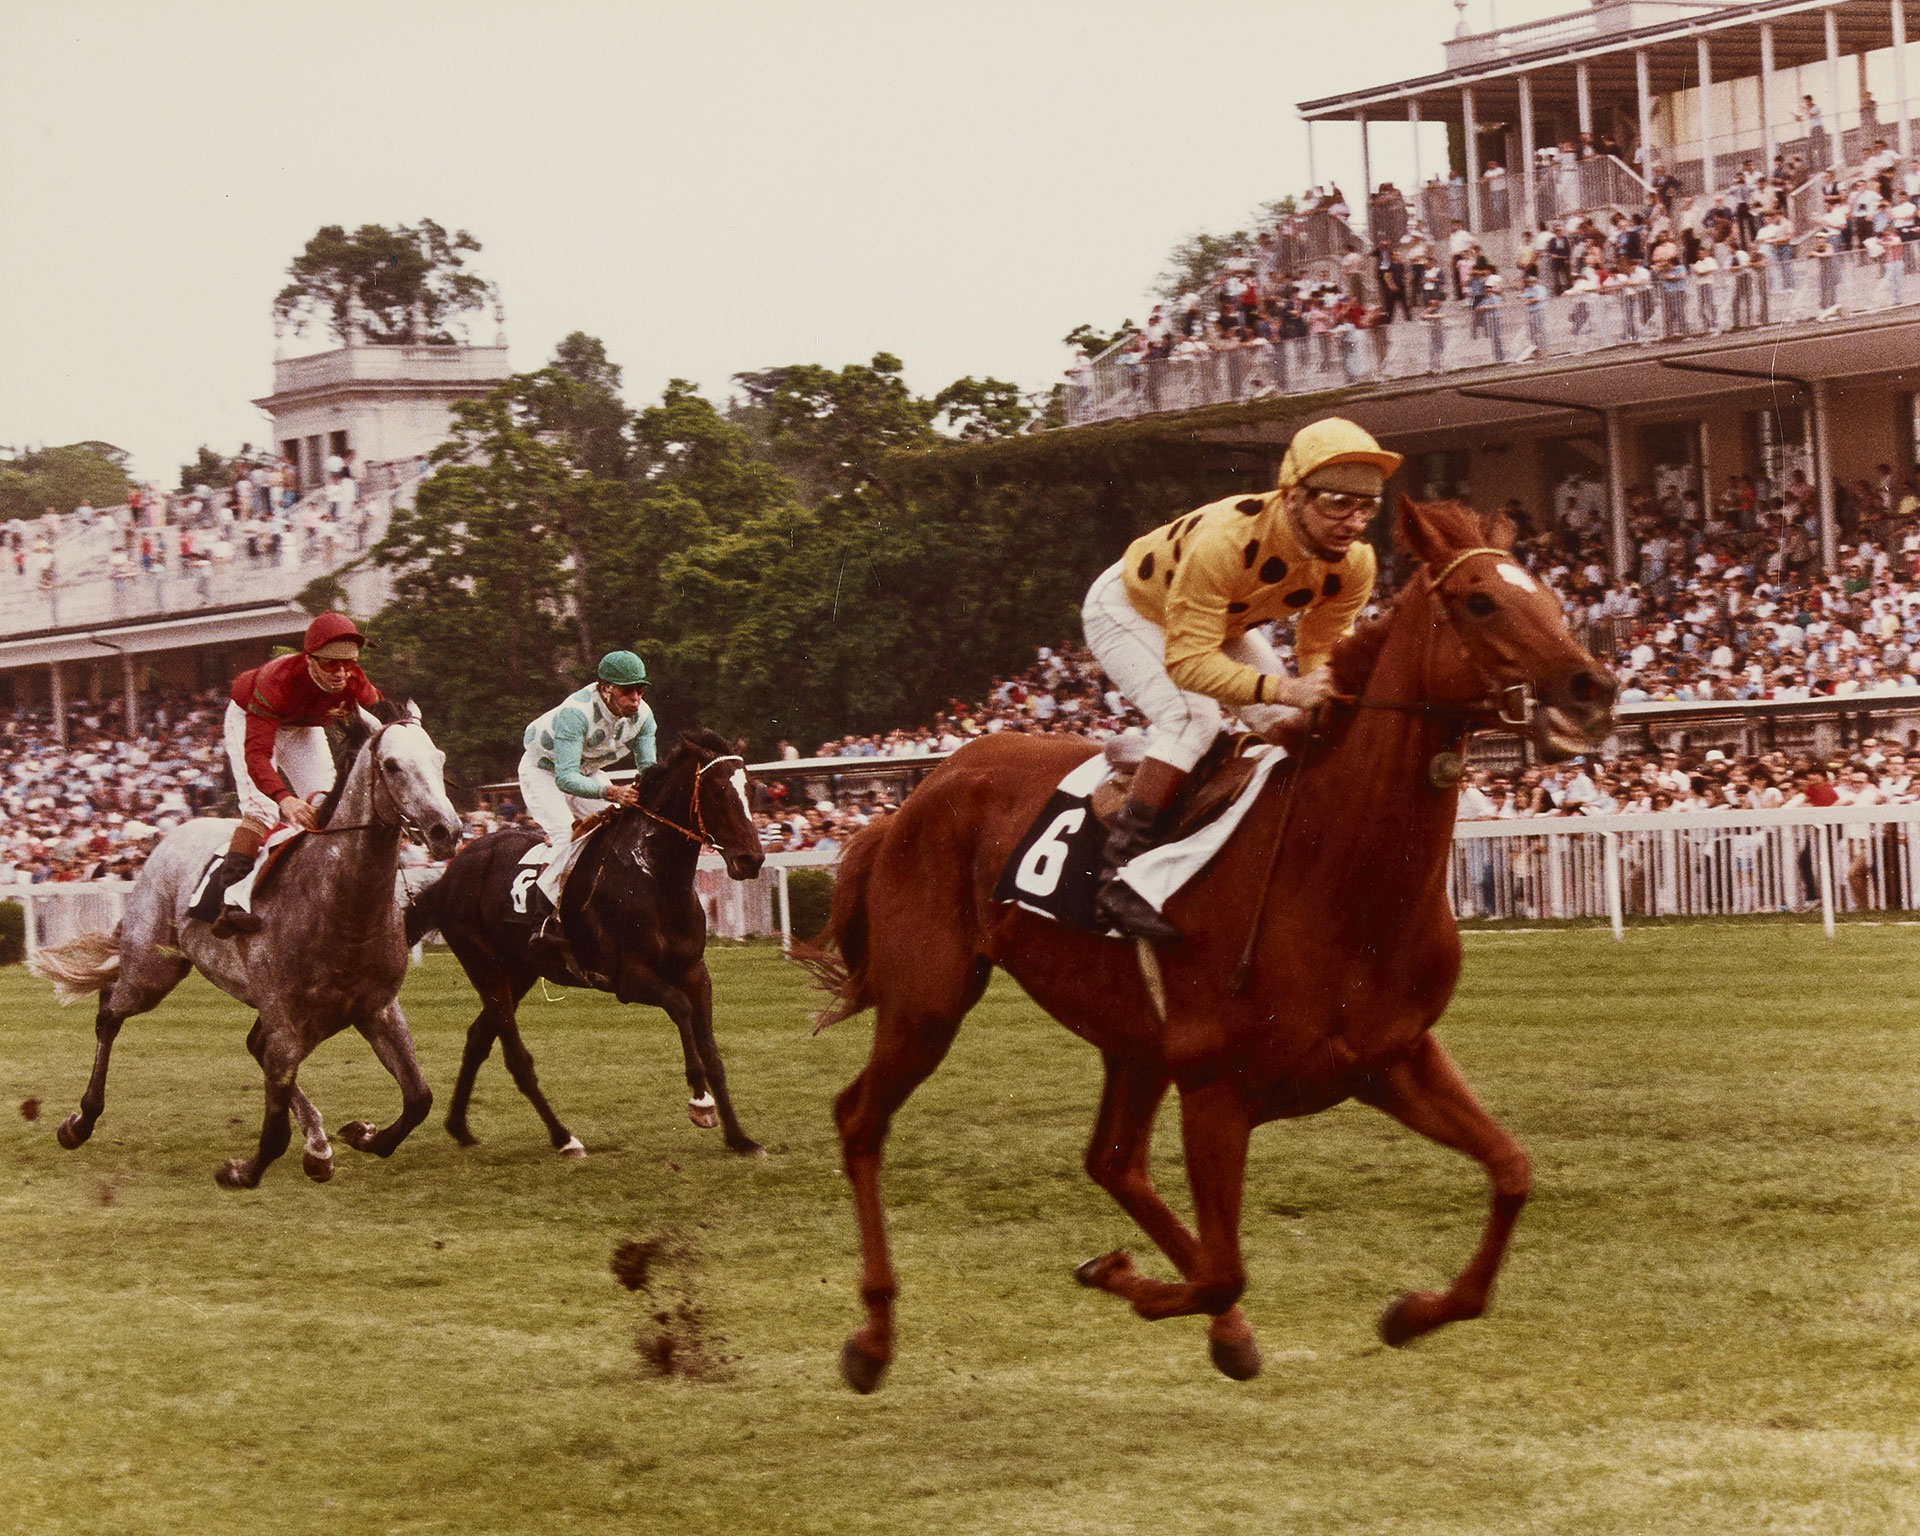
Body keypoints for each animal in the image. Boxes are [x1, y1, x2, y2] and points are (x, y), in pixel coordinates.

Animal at [31, 702, 466, 1190]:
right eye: (392, 765)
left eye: (439, 759)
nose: (446, 830)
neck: (342, 907)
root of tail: (170, 838)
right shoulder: (287, 1019)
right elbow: (274, 1131)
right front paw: (241, 1171)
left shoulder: (377, 1008)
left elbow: (419, 1098)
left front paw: (361, 1135)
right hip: (151, 969)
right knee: (109, 1012)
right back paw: (80, 1122)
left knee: (251, 1044)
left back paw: (318, 1145)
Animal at [408, 729, 768, 1152]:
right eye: (717, 790)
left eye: (753, 789)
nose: (752, 860)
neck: (654, 879)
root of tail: (451, 873)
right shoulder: (628, 978)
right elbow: (679, 1007)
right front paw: (700, 1101)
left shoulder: (695, 971)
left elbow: (711, 1050)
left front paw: (740, 1138)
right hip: (485, 966)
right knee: (515, 1057)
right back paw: (563, 1137)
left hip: (519, 971)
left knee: (479, 1036)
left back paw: (459, 1127)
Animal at [798, 499, 1620, 1390]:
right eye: (1480, 601)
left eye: (1552, 596)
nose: (1594, 688)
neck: (1333, 872)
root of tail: (910, 799)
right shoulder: (1217, 1089)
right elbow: (1226, 1268)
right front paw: (1125, 1278)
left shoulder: (1390, 1060)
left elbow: (1512, 1172)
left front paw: (1409, 1315)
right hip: (929, 1001)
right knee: (859, 1120)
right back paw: (872, 1337)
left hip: (1133, 1040)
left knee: (1112, 1160)